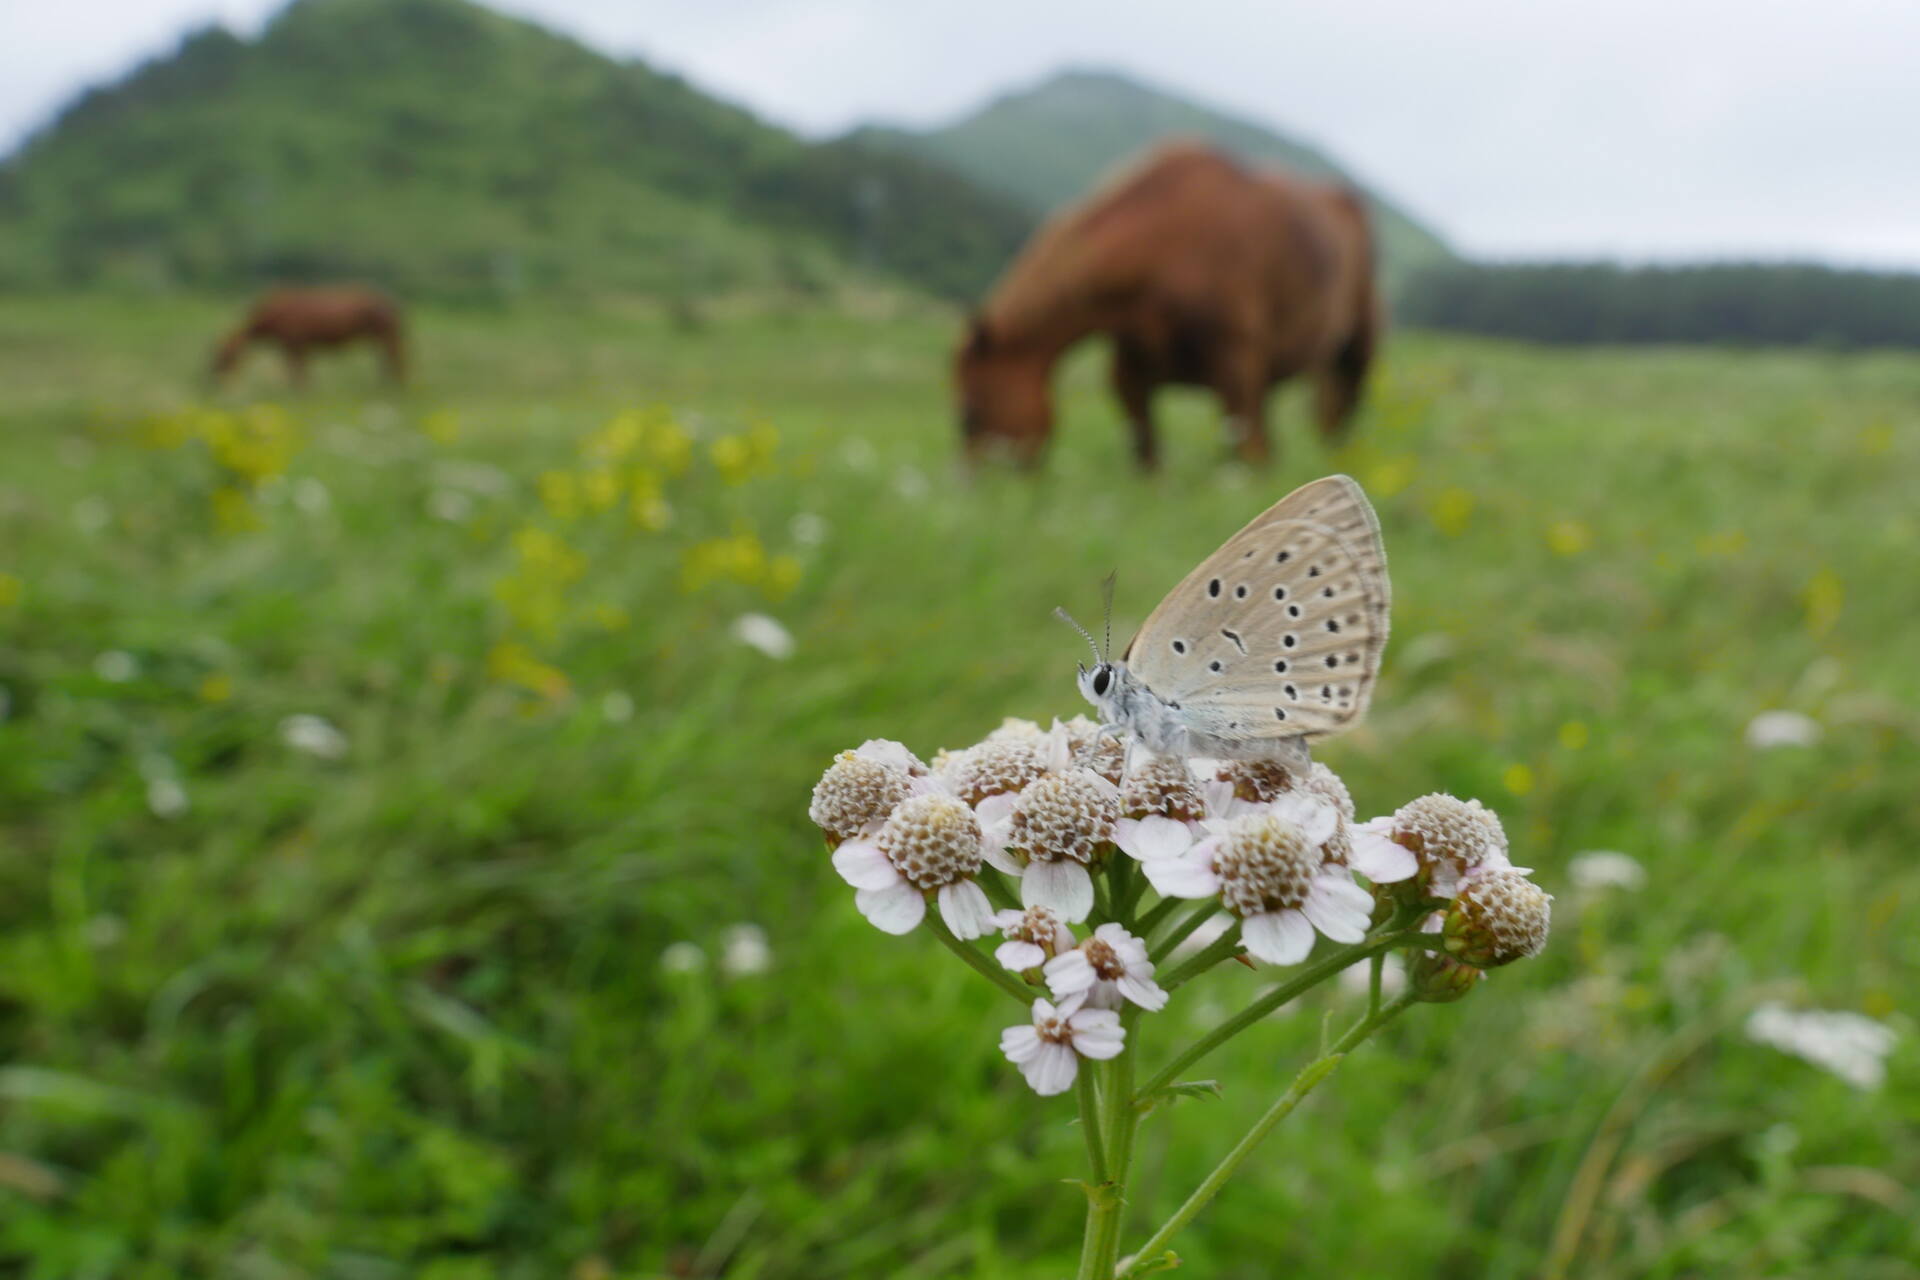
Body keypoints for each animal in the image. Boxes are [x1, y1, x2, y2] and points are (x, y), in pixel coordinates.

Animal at [209, 287, 405, 387]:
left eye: (222, 355)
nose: (210, 379)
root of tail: (388, 301)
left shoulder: (295, 346)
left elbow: (299, 373)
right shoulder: (295, 347)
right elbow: (300, 373)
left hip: (384, 337)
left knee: (394, 359)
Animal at [960, 143, 1382, 470]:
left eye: (970, 415)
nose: (969, 487)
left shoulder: (1236, 363)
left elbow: (1245, 457)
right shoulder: (1129, 372)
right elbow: (1147, 456)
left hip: (1354, 353)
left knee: (1339, 419)